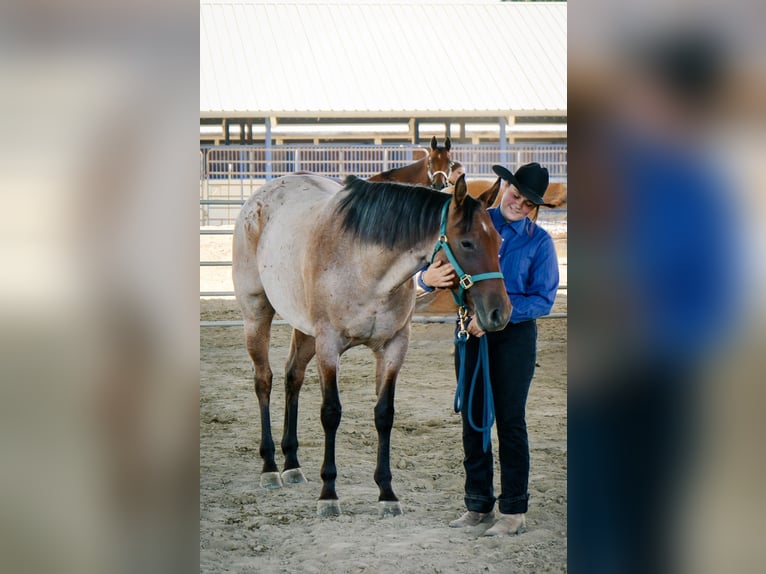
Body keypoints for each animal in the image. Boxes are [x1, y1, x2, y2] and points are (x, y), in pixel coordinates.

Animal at [232, 173, 510, 517]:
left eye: (498, 241)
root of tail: (259, 198)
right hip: (256, 314)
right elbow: (331, 413)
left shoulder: (393, 347)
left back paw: (292, 463)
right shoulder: (329, 346)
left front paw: (387, 493)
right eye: (467, 243)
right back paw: (270, 466)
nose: (500, 313)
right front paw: (329, 494)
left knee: (293, 376)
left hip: (305, 330)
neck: (365, 268)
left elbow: (384, 414)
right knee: (264, 381)